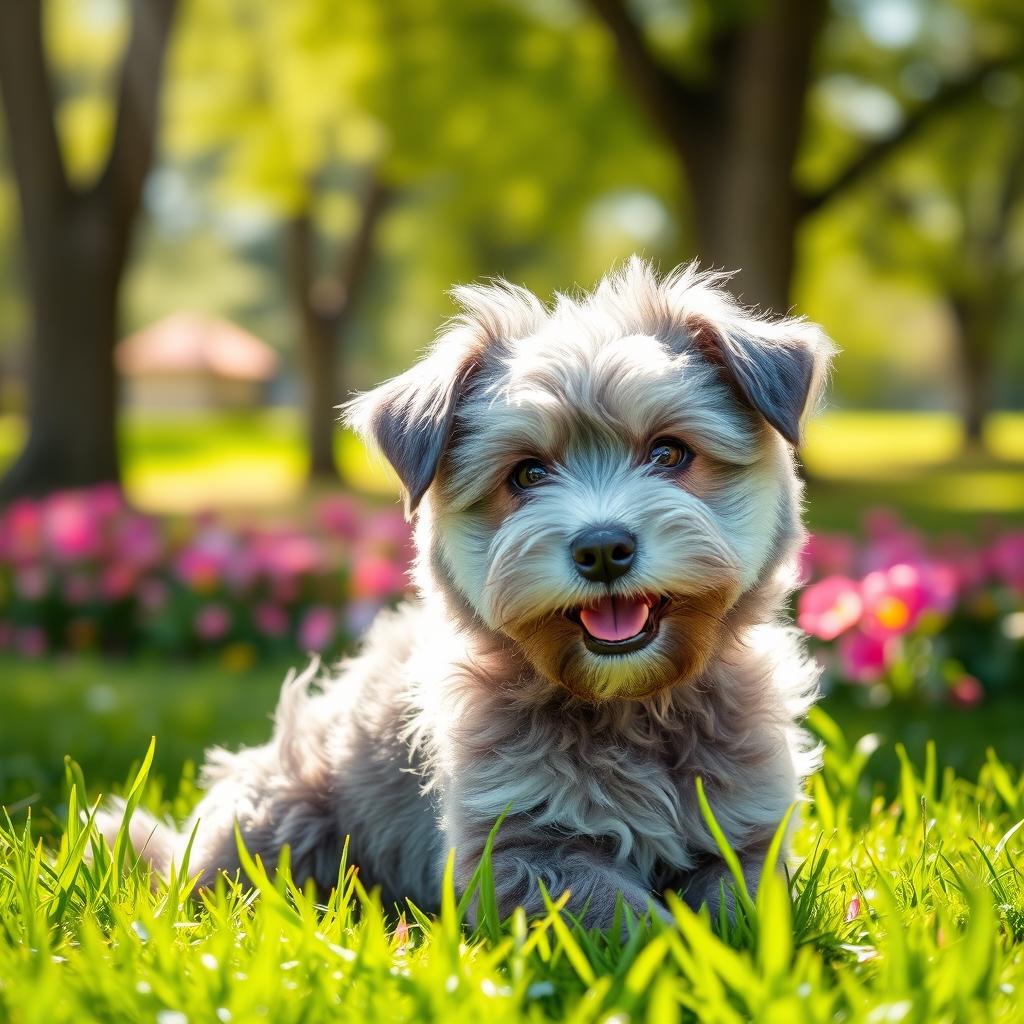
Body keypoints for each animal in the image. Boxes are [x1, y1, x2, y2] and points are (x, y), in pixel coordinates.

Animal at [110, 258, 831, 929]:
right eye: (528, 474)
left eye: (670, 453)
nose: (602, 548)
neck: (632, 708)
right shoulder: (520, 848)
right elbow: (620, 912)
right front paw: (675, 949)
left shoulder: (748, 829)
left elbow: (743, 901)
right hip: (282, 808)